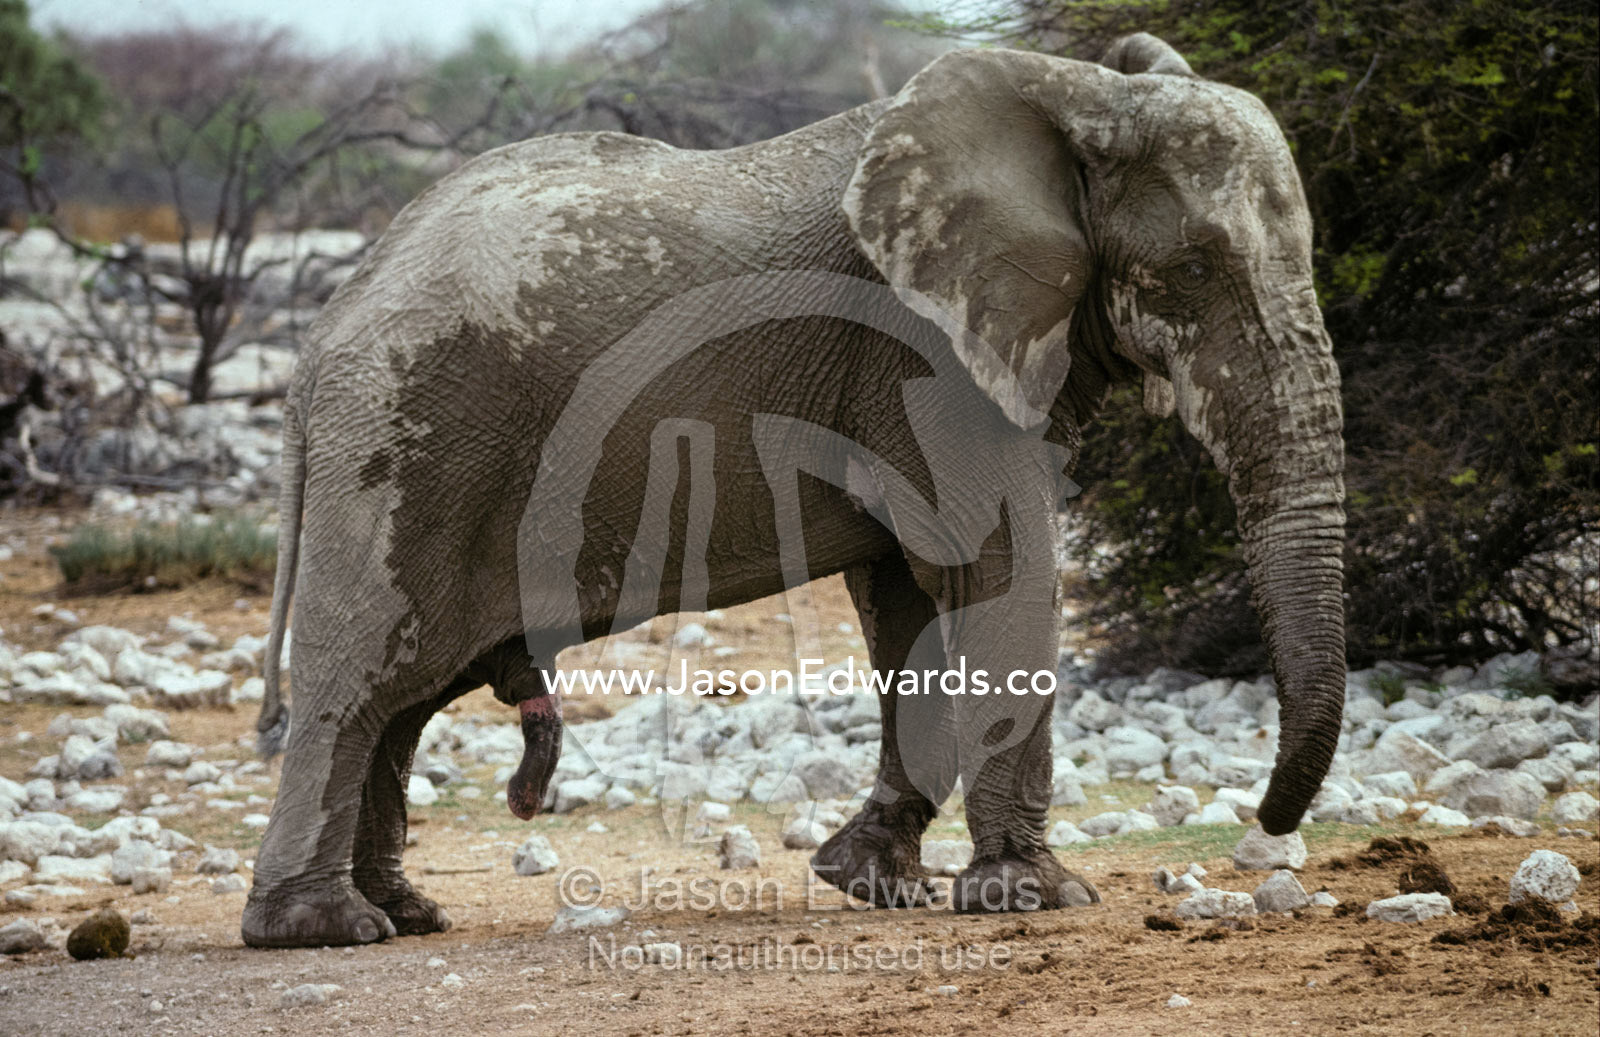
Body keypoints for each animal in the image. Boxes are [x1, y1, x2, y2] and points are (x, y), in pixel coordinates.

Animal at [241, 33, 1346, 948]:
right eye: (1194, 269)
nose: (1264, 828)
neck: (1079, 94)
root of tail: (317, 341)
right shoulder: (923, 353)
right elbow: (1001, 572)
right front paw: (1037, 898)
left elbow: (907, 600)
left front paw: (869, 881)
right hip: (403, 451)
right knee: (359, 684)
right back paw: (322, 928)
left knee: (403, 700)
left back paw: (407, 912)